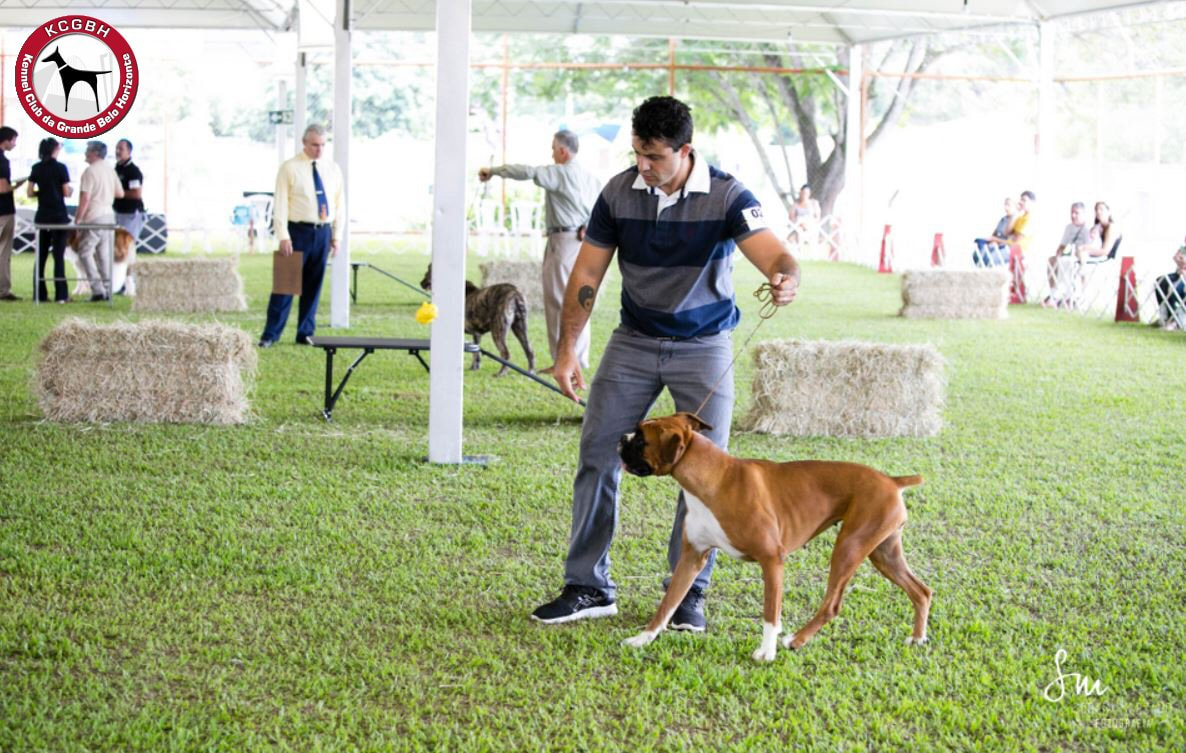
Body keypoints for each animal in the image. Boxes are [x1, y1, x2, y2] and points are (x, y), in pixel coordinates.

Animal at [618, 412, 932, 662]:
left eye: (641, 439)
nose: (622, 437)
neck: (715, 479)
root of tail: (892, 481)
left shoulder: (771, 560)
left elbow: (771, 611)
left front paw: (766, 652)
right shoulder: (692, 559)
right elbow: (667, 603)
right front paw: (643, 638)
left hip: (849, 548)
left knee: (832, 605)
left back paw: (795, 641)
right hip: (883, 553)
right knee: (921, 591)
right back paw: (917, 638)